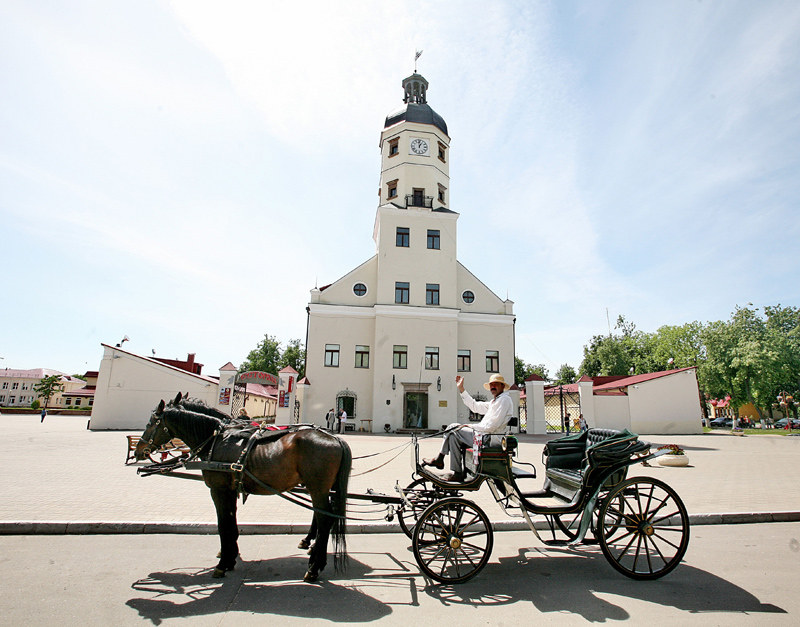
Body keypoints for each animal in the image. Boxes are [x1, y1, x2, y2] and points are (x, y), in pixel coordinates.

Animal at [134, 398, 350, 584]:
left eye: (151, 422)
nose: (138, 451)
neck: (216, 439)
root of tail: (335, 439)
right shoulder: (230, 489)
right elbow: (231, 520)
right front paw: (230, 556)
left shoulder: (218, 489)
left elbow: (223, 524)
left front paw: (223, 563)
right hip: (319, 488)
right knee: (323, 516)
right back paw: (312, 552)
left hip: (317, 487)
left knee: (325, 519)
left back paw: (313, 566)